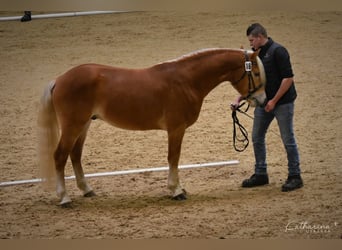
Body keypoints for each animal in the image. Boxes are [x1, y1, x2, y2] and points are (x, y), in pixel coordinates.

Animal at [38, 47, 268, 206]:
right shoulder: (176, 129)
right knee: (60, 156)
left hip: (83, 125)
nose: (262, 100)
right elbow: (173, 158)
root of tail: (59, 79)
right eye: (256, 73)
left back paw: (87, 190)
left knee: (75, 155)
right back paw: (64, 198)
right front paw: (176, 191)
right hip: (73, 126)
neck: (186, 81)